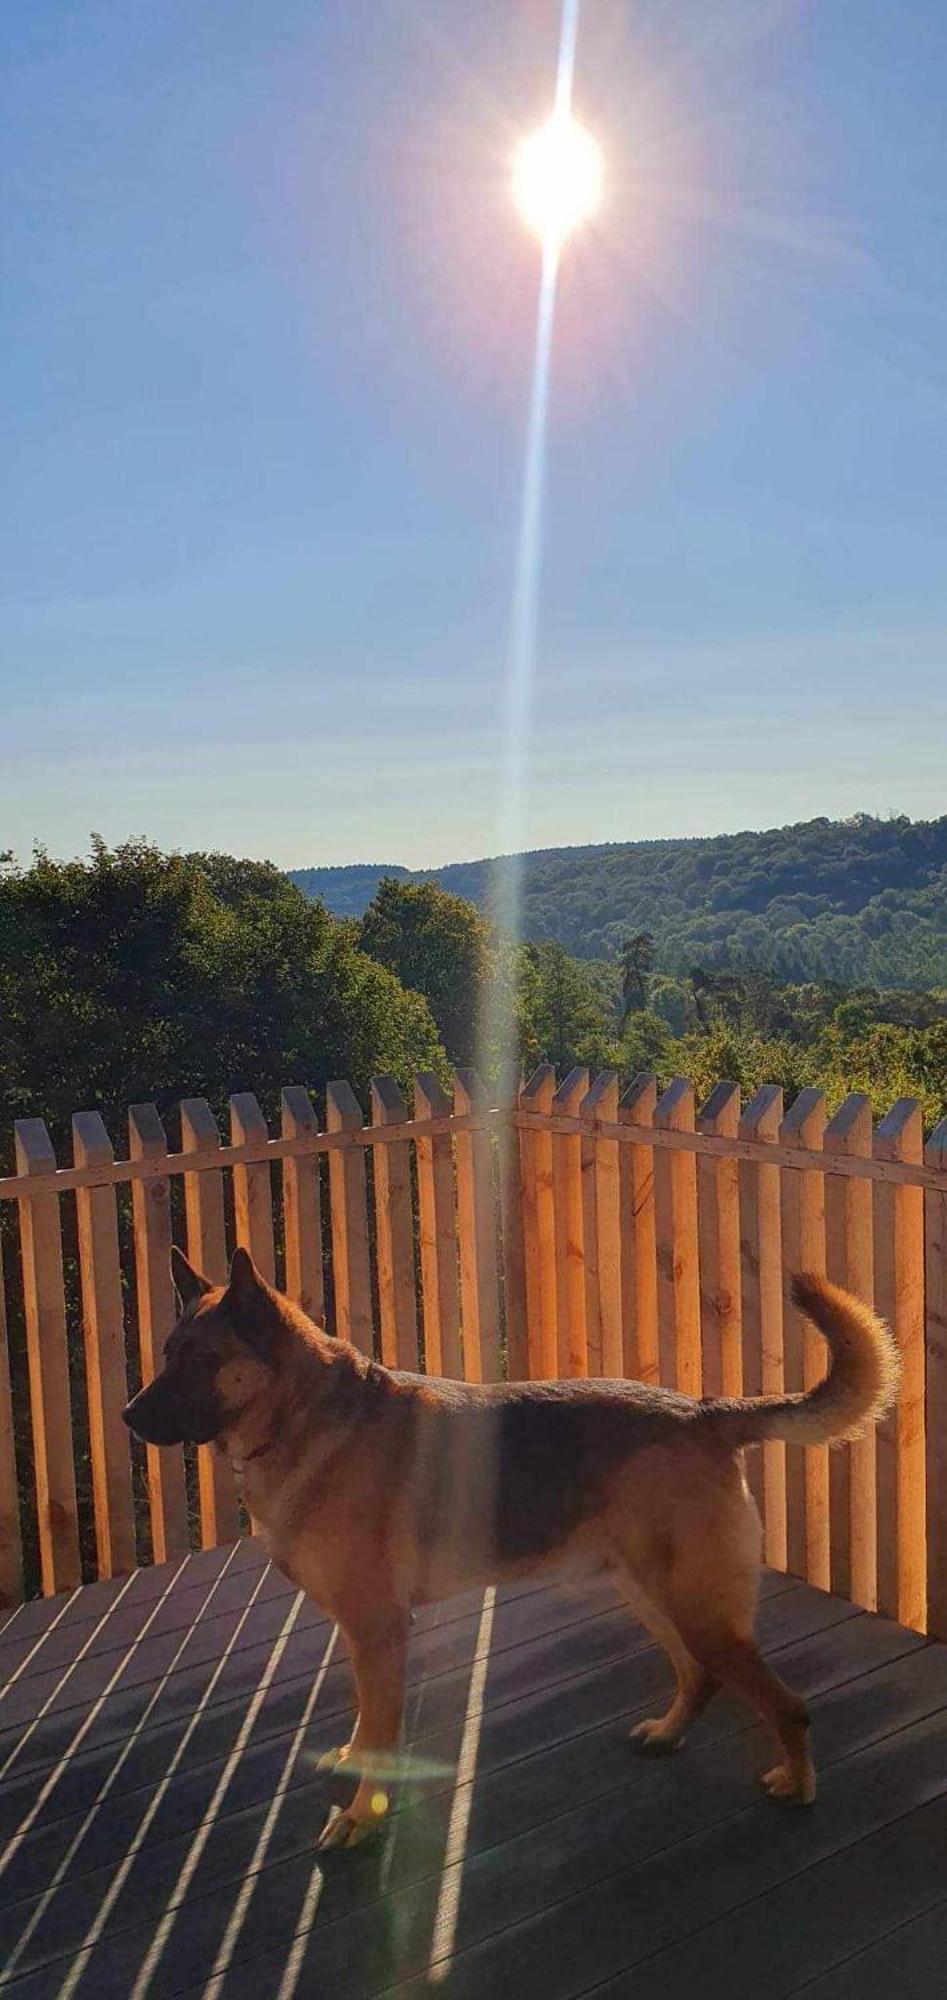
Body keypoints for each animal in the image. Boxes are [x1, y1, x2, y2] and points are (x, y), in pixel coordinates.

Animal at [123, 1256, 895, 1848]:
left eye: (201, 1360)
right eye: (166, 1355)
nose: (129, 1417)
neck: (302, 1416)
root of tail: (703, 1414)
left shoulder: (377, 1631)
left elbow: (382, 1726)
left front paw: (363, 1818)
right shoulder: (360, 1633)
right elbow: (367, 1718)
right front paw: (355, 1762)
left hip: (693, 1607)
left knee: (787, 1704)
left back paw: (797, 1786)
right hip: (650, 1594)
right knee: (699, 1676)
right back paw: (668, 1733)